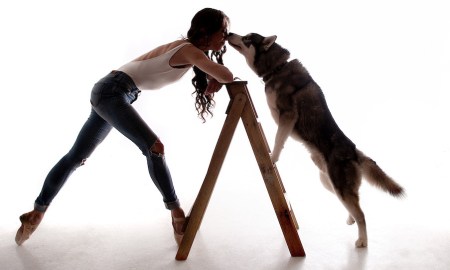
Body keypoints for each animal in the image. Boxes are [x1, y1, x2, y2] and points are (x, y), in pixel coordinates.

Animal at [229, 32, 404, 248]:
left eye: (246, 38)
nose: (229, 34)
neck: (278, 68)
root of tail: (353, 150)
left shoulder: (288, 116)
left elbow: (278, 140)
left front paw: (273, 157)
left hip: (339, 185)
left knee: (362, 214)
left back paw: (362, 240)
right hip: (327, 181)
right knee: (352, 207)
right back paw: (351, 219)